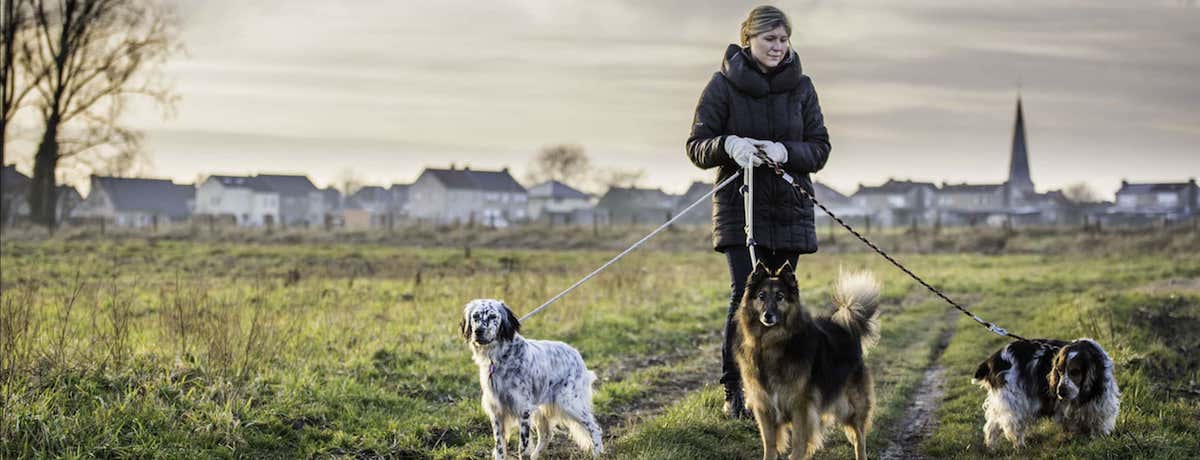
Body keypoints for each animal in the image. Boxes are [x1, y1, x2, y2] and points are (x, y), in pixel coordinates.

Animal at [463, 300, 604, 460]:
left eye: (493, 316)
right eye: (475, 316)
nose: (478, 331)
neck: (499, 357)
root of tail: (576, 354)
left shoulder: (523, 409)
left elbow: (522, 448)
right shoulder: (496, 411)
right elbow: (499, 446)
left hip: (570, 403)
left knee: (595, 427)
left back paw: (597, 454)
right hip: (542, 410)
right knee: (546, 435)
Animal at [729, 263, 883, 460]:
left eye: (780, 297)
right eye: (761, 296)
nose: (768, 315)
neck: (772, 343)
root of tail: (846, 326)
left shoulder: (801, 406)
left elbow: (798, 442)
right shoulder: (765, 407)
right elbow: (769, 444)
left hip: (851, 406)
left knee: (859, 438)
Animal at [974, 338, 1113, 451]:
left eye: (1075, 372)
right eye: (1058, 371)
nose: (1060, 391)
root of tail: (992, 359)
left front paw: (1097, 437)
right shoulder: (1065, 408)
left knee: (991, 426)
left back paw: (991, 449)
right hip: (1014, 403)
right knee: (1013, 428)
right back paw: (1020, 447)